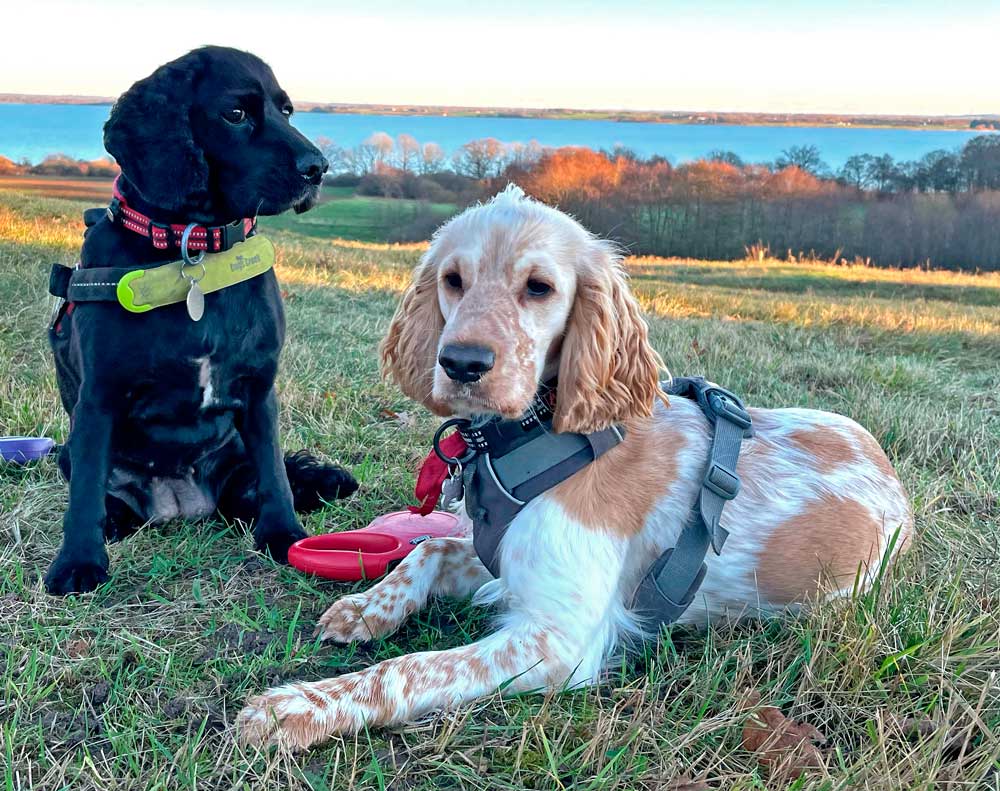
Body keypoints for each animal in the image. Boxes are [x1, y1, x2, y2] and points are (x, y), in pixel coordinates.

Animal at [47, 46, 360, 592]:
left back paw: (323, 482)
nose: (319, 167)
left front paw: (283, 535)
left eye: (287, 110)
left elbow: (275, 471)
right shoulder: (97, 399)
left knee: (258, 486)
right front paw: (78, 562)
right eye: (235, 114)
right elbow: (85, 490)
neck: (194, 249)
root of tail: (181, 505)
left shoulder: (259, 390)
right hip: (70, 450)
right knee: (104, 497)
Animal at [238, 184, 912, 748]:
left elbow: (409, 671)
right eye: (453, 280)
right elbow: (426, 548)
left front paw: (298, 707)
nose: (460, 363)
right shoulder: (500, 556)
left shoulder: (557, 638)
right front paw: (364, 609)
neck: (529, 440)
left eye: (539, 287)